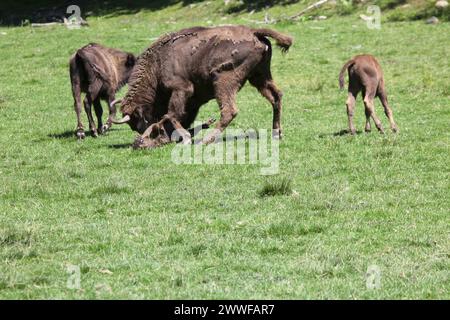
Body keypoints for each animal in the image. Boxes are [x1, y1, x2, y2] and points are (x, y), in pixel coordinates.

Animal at [112, 25, 294, 148]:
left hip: (223, 82)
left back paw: (206, 141)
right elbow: (180, 116)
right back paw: (277, 133)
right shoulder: (193, 100)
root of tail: (254, 32)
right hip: (260, 76)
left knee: (229, 111)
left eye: (137, 121)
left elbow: (172, 114)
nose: (141, 140)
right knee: (276, 97)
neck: (158, 62)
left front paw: (186, 139)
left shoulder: (181, 89)